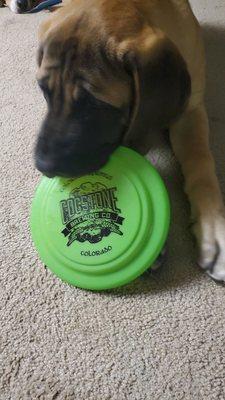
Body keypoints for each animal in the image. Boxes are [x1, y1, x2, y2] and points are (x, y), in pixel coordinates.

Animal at [34, 0, 225, 282]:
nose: (42, 165)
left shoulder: (190, 109)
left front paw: (214, 229)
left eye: (94, 104)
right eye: (43, 90)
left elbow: (200, 160)